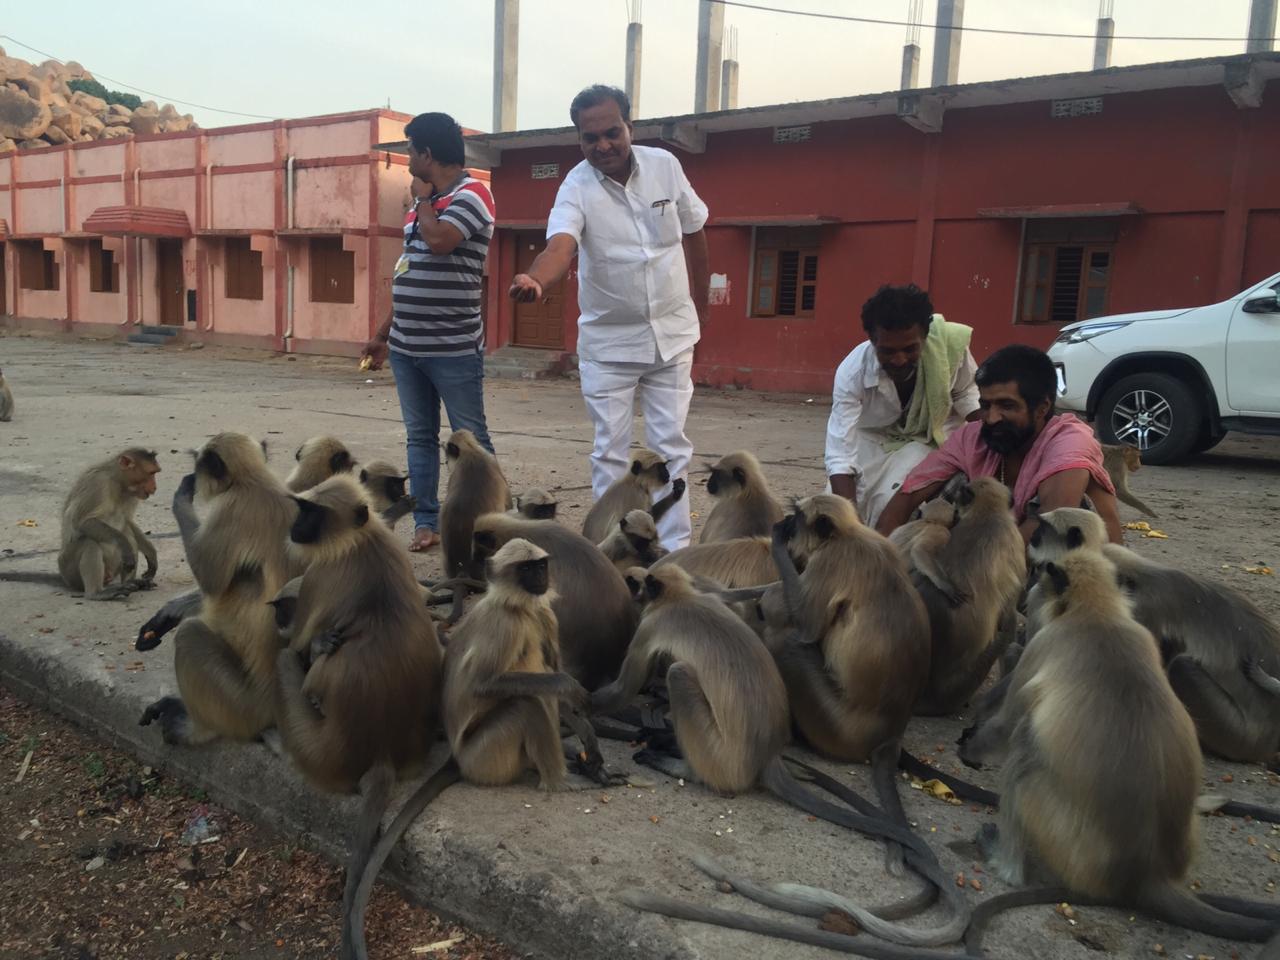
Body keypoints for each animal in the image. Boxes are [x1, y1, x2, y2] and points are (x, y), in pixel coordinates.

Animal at [57, 445, 160, 599]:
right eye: (151, 473)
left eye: (155, 473)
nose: (154, 487)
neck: (119, 484)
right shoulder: (98, 484)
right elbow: (84, 522)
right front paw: (124, 545)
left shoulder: (133, 495)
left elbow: (127, 521)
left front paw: (151, 554)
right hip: (69, 570)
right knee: (89, 542)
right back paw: (97, 593)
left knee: (127, 532)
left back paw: (130, 583)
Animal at [962, 552, 1280, 952]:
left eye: (1036, 577)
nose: (1025, 597)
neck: (1098, 612)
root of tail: (1144, 874)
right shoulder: (1141, 631)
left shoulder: (1046, 641)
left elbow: (1006, 724)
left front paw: (969, 747)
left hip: (1067, 844)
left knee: (1024, 746)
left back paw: (1005, 862)